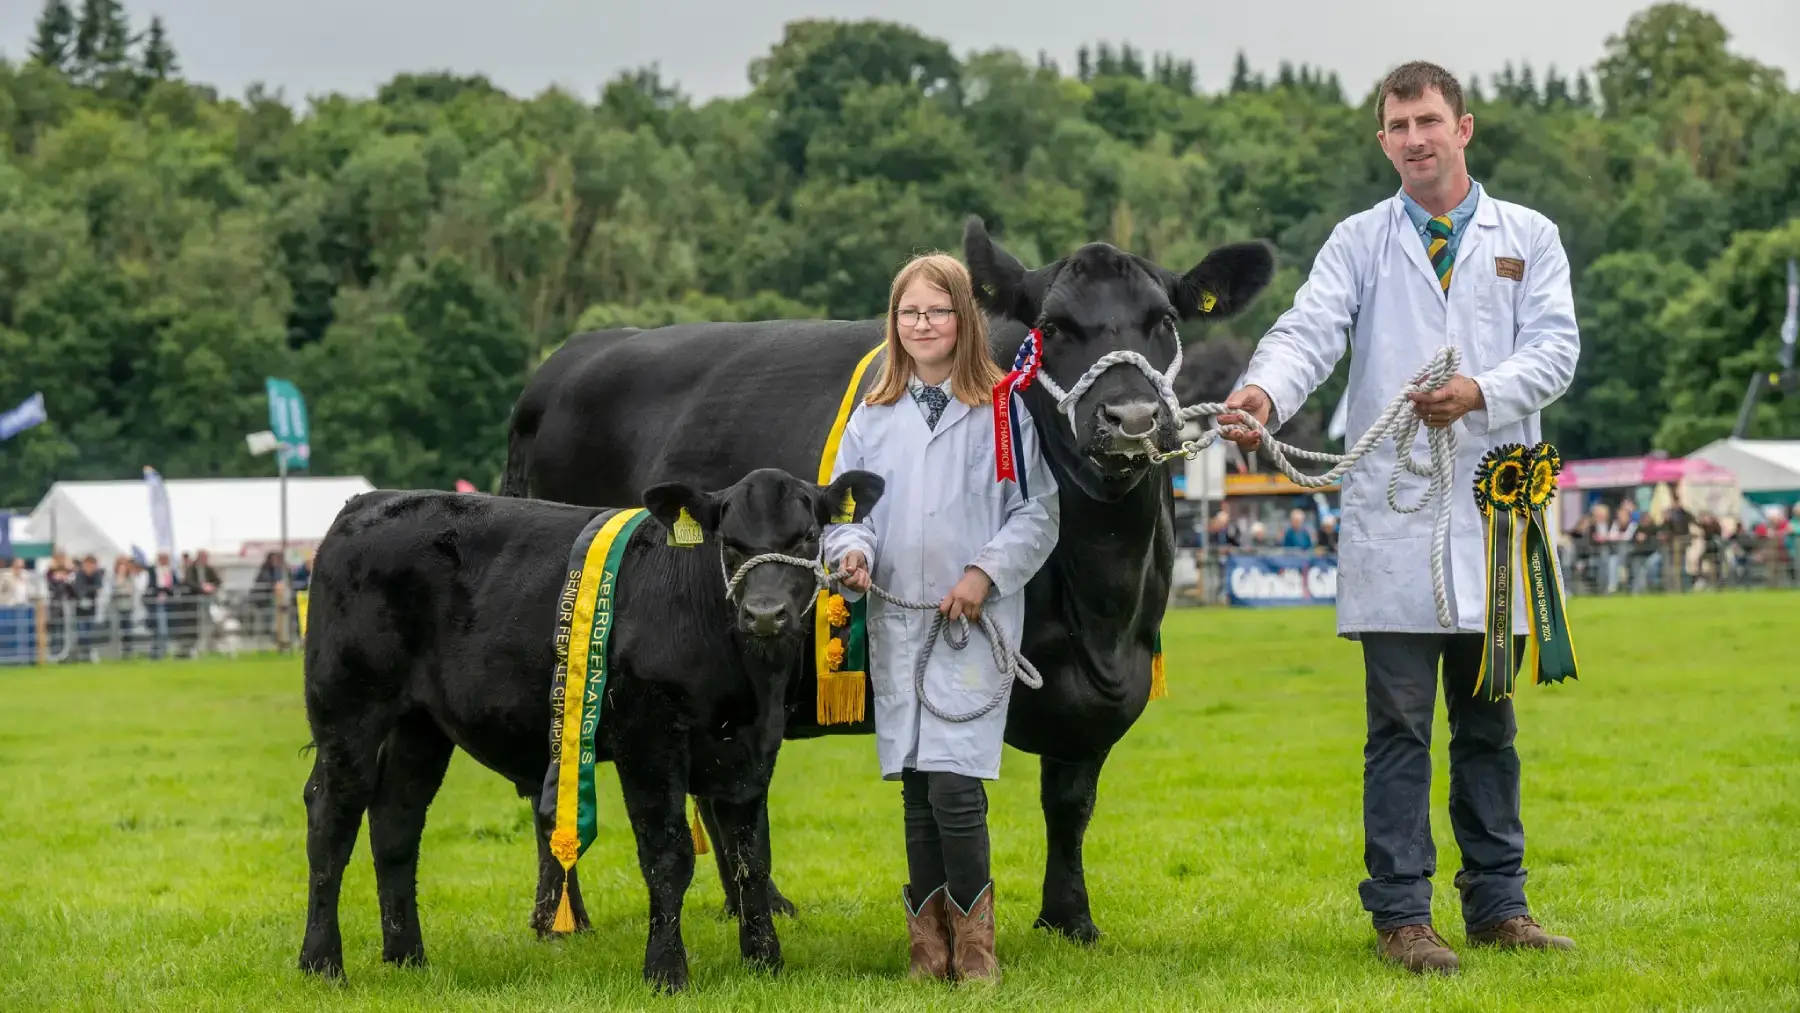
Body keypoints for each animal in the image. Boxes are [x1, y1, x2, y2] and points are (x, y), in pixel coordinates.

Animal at [500, 220, 1274, 942]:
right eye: (1052, 327)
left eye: (1164, 320)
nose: (1131, 418)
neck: (1103, 600)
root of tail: (566, 361)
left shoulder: (1107, 686)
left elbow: (1070, 799)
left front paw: (1069, 919)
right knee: (556, 779)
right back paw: (560, 917)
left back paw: (757, 901)